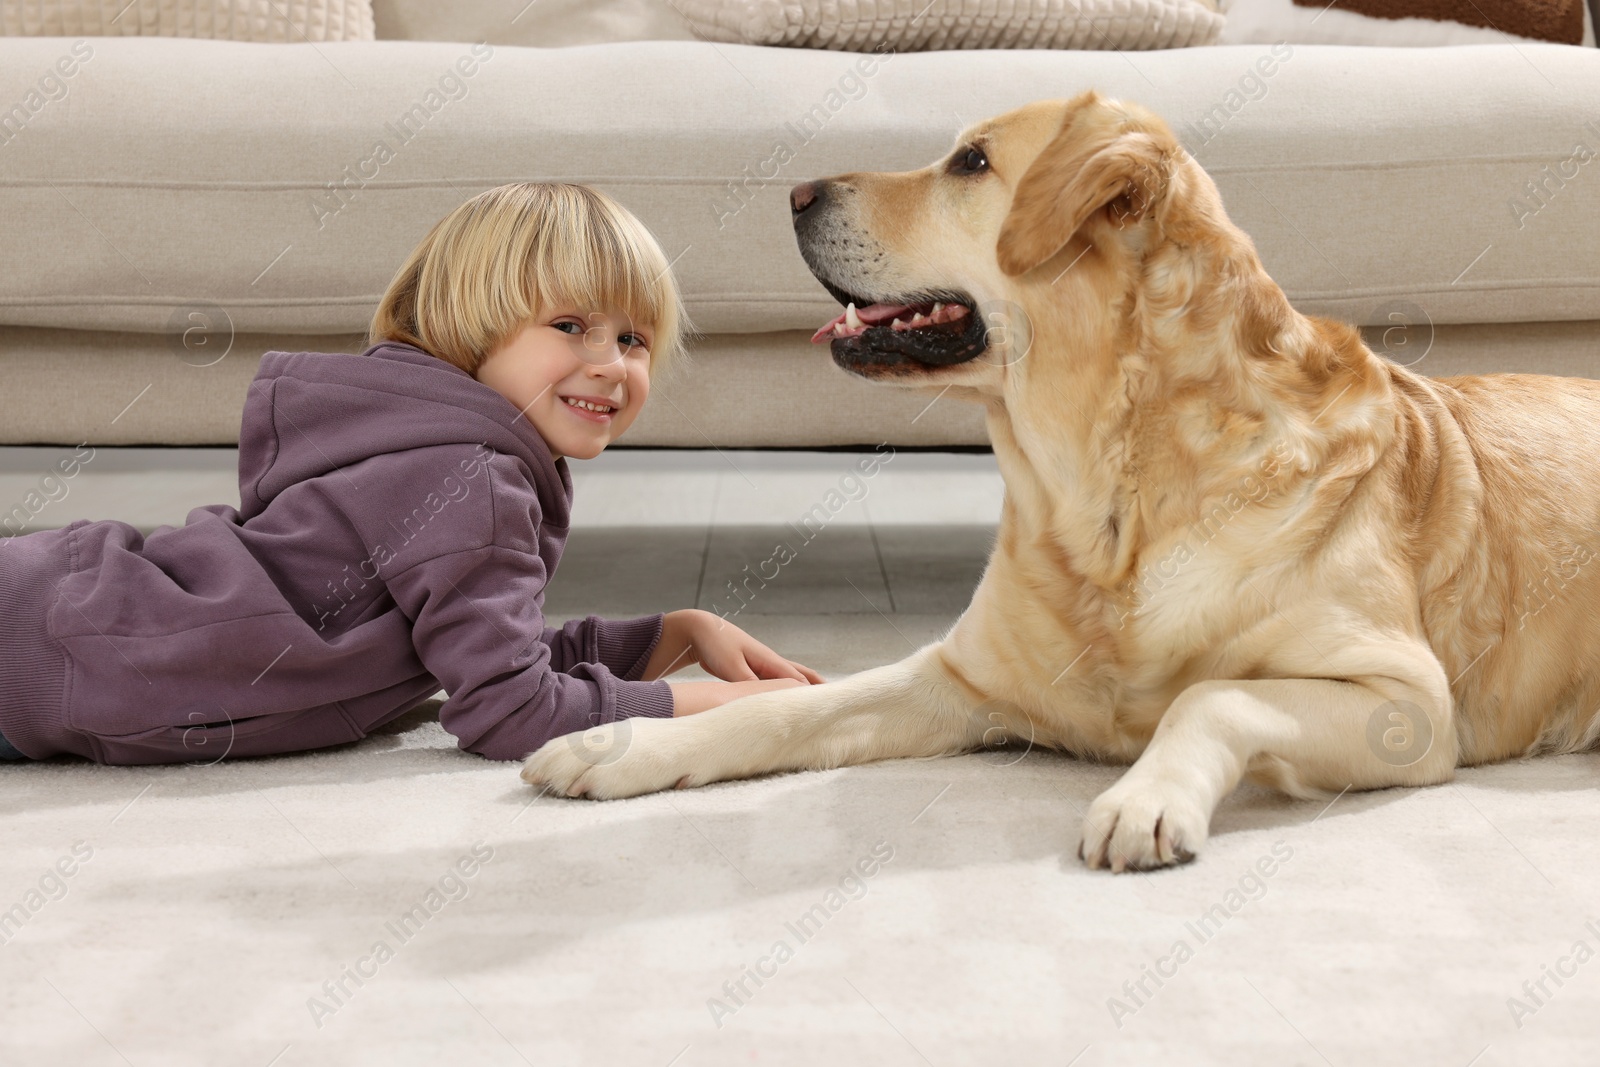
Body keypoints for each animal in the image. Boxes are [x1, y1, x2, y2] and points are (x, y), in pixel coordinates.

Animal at [521, 91, 1600, 870]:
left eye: (971, 161)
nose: (791, 194)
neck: (1108, 492)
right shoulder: (955, 678)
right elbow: (780, 705)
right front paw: (620, 746)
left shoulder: (1403, 702)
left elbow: (1213, 695)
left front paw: (1143, 797)